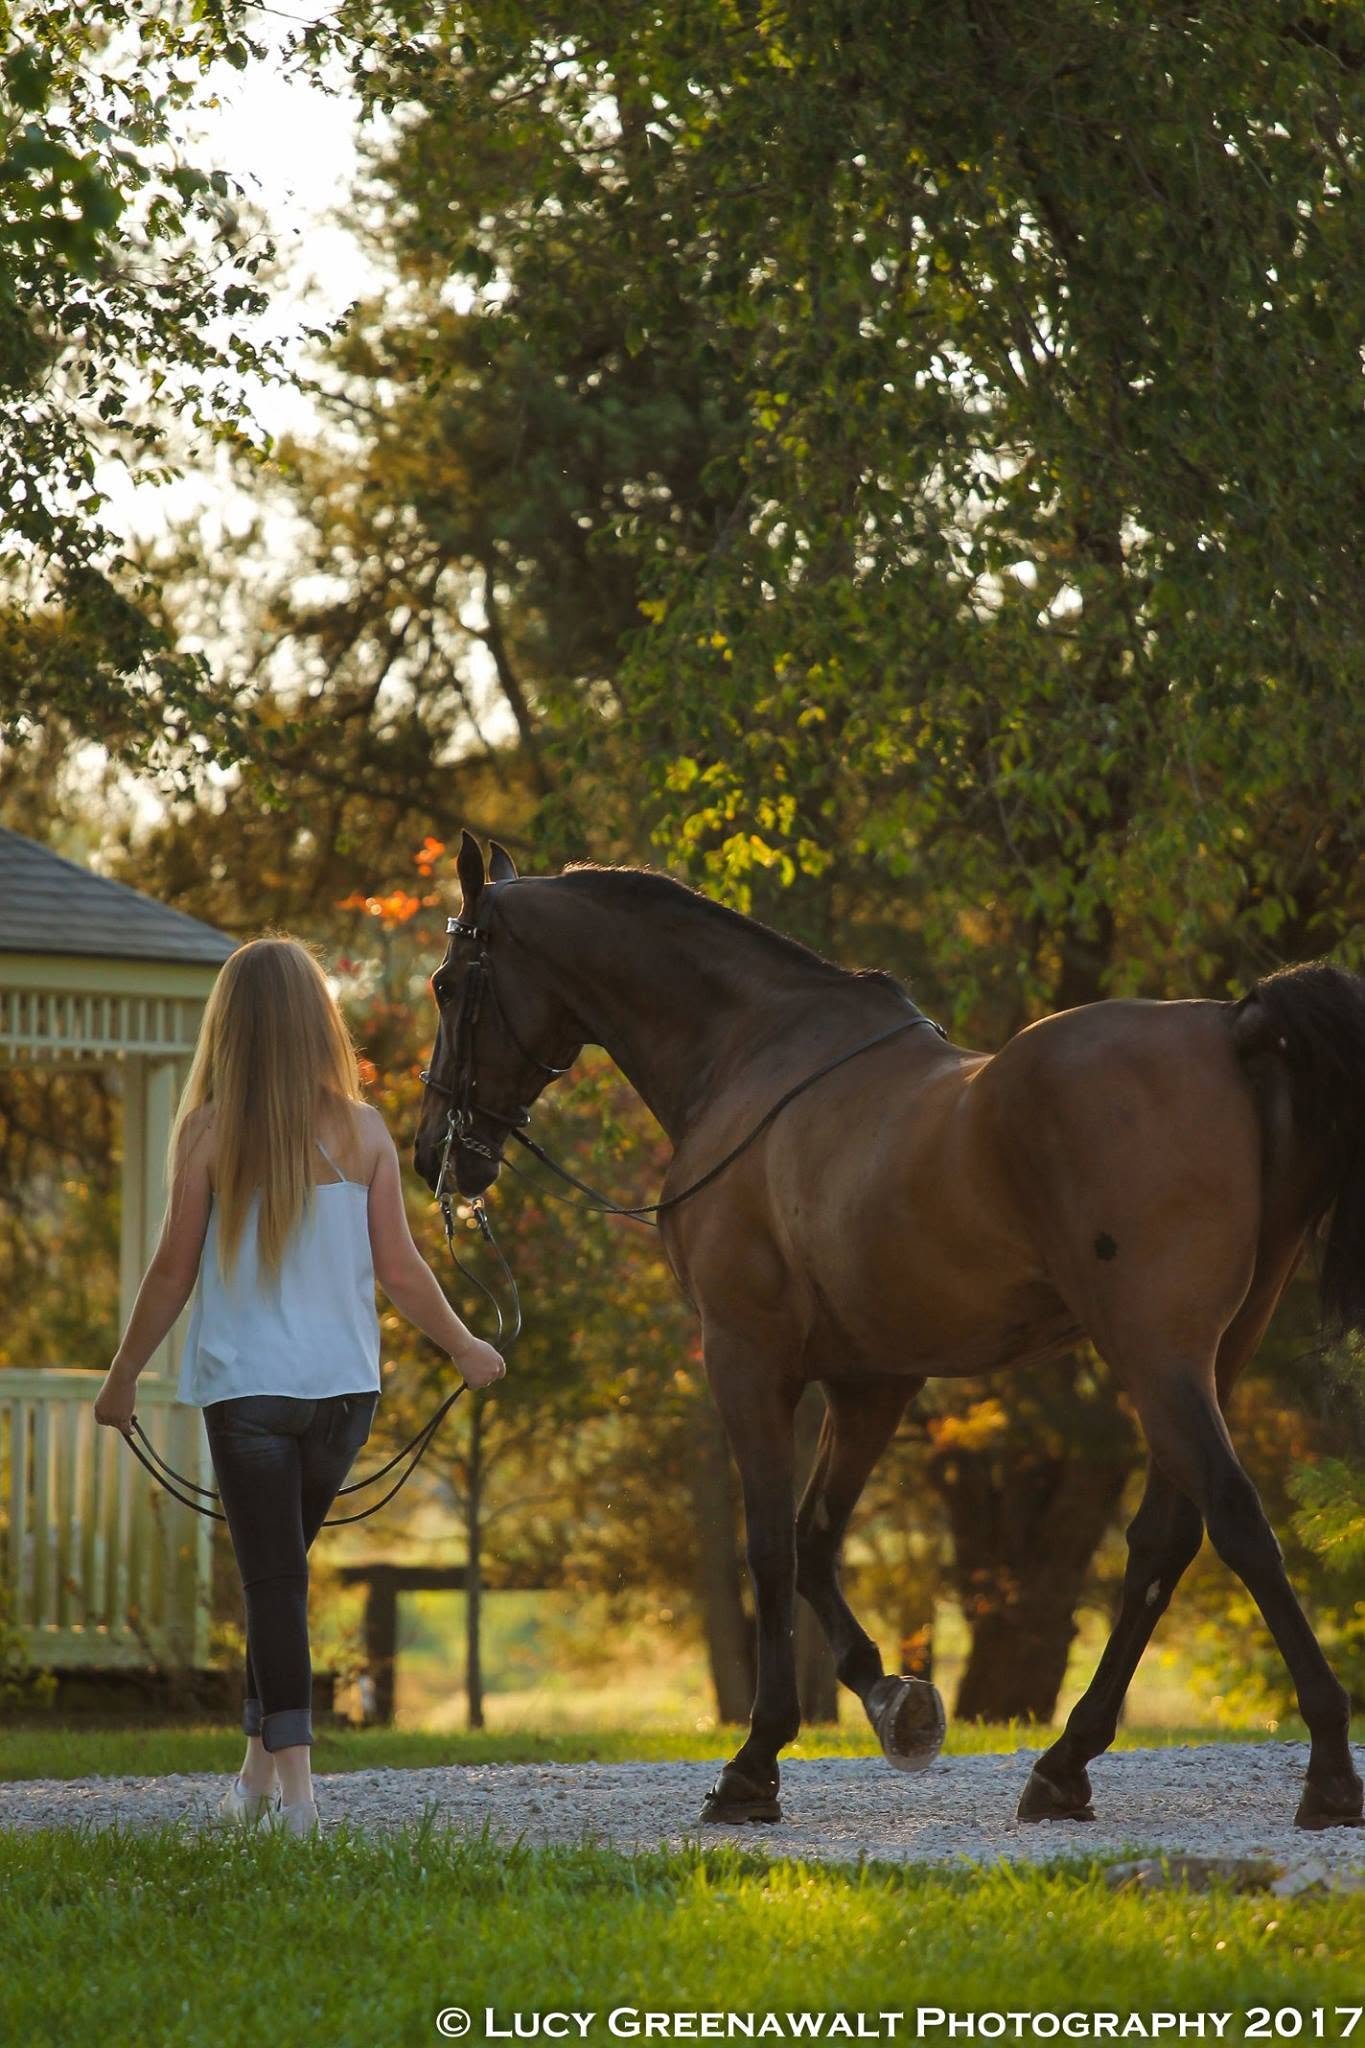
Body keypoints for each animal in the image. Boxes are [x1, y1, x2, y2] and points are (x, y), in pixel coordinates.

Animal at [414, 830, 1365, 1831]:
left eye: (447, 981)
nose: (435, 1149)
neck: (751, 1056)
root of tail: (1233, 1029)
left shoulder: (746, 1358)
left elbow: (770, 1546)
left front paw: (753, 1764)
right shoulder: (873, 1380)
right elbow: (816, 1540)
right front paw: (889, 1698)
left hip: (1154, 1350)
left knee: (1232, 1519)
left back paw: (1326, 1768)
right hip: (1211, 1355)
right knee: (1165, 1539)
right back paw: (1063, 1765)